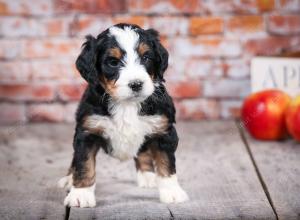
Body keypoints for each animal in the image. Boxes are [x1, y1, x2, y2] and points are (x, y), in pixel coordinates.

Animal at [58, 23, 189, 207]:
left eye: (146, 57)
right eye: (113, 62)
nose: (136, 84)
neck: (127, 104)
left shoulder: (163, 131)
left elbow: (166, 162)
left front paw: (172, 192)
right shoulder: (87, 131)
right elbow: (84, 163)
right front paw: (81, 194)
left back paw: (148, 176)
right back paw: (69, 179)